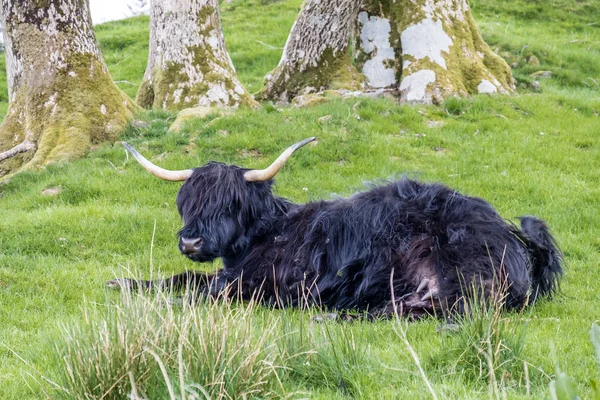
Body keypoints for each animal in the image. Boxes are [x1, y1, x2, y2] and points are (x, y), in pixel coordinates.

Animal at [110, 138, 564, 318]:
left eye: (230, 203)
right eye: (185, 204)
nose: (191, 240)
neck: (269, 233)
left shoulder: (265, 286)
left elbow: (201, 289)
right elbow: (183, 277)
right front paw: (122, 283)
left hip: (450, 272)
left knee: (444, 308)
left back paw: (333, 317)